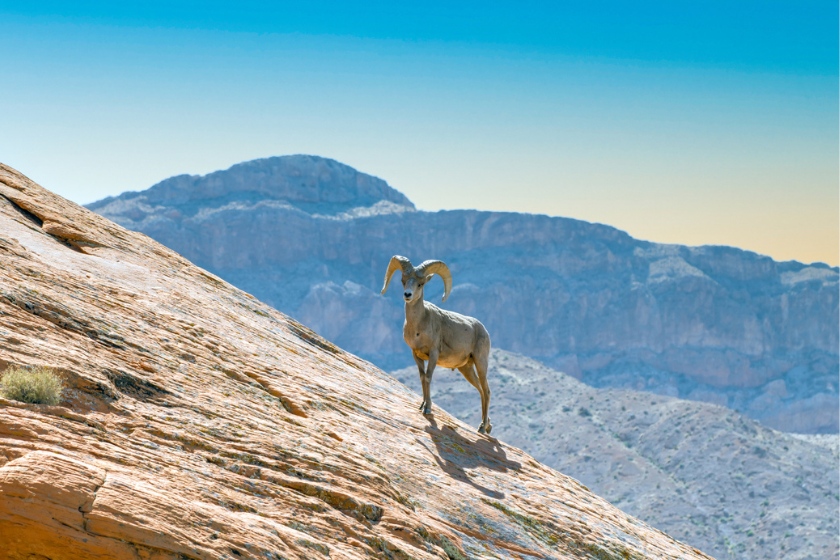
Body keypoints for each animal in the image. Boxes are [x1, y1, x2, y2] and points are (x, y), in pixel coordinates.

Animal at [382, 256, 492, 436]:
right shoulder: (416, 354)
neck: (418, 326)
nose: (407, 295)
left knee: (487, 391)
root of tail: (484, 330)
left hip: (480, 362)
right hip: (466, 368)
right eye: (403, 281)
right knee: (481, 391)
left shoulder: (433, 354)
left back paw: (482, 428)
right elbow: (422, 378)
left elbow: (428, 377)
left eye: (420, 284)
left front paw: (427, 408)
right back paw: (487, 426)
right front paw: (421, 406)